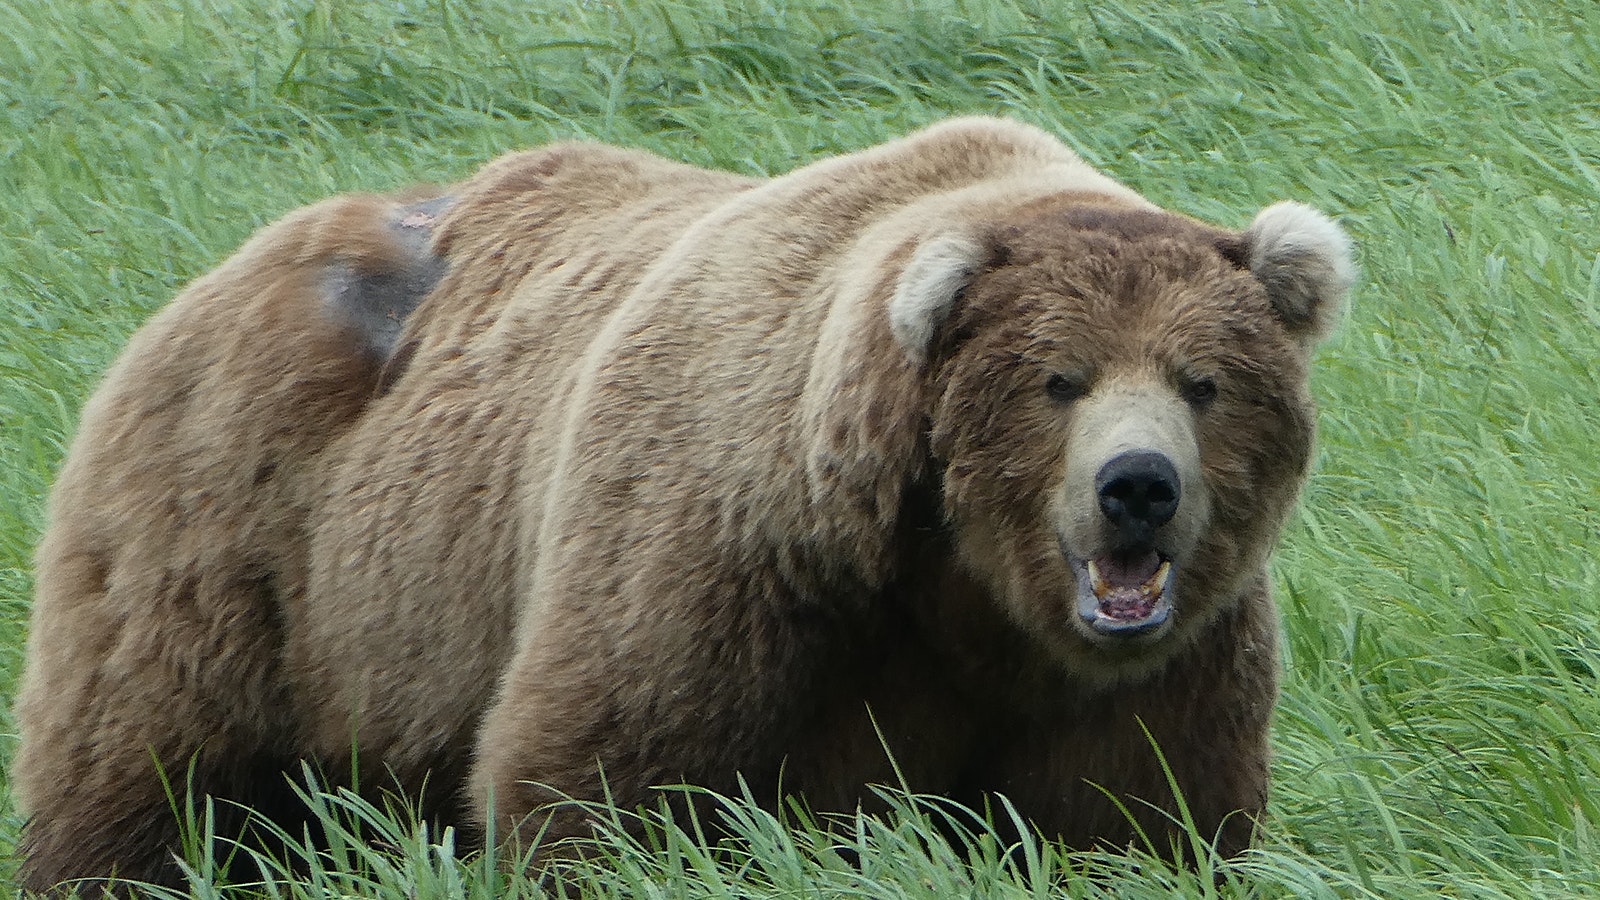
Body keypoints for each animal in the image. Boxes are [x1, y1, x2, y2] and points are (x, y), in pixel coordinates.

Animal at [12, 119, 1350, 890]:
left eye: (1204, 382)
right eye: (1057, 379)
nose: (1138, 489)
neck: (952, 582)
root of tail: (239, 258)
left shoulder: (1146, 673)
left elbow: (1136, 818)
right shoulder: (720, 553)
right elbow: (602, 782)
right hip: (246, 545)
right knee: (149, 774)